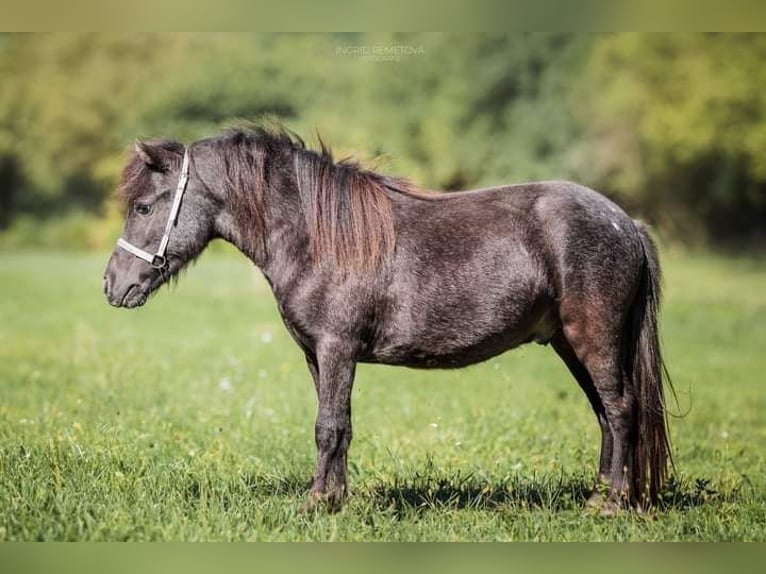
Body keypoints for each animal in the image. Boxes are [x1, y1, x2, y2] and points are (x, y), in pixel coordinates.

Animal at [103, 125, 672, 512]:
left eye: (145, 207)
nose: (113, 285)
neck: (317, 235)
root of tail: (625, 222)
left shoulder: (337, 347)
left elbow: (328, 426)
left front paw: (317, 503)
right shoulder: (318, 354)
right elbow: (340, 425)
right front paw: (336, 498)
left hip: (594, 339)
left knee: (621, 410)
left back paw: (612, 503)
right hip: (569, 344)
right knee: (605, 414)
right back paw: (599, 494)